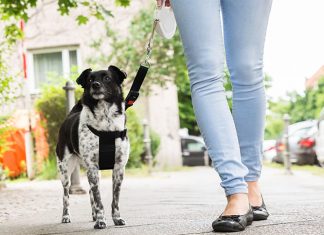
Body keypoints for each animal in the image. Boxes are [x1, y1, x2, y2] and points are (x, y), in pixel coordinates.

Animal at [56, 65, 130, 229]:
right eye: (90, 80)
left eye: (107, 78)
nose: (95, 85)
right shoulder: (92, 167)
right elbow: (98, 199)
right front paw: (101, 221)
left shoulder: (118, 168)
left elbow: (114, 199)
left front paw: (116, 218)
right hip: (65, 170)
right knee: (66, 195)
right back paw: (66, 216)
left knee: (90, 191)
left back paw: (94, 215)